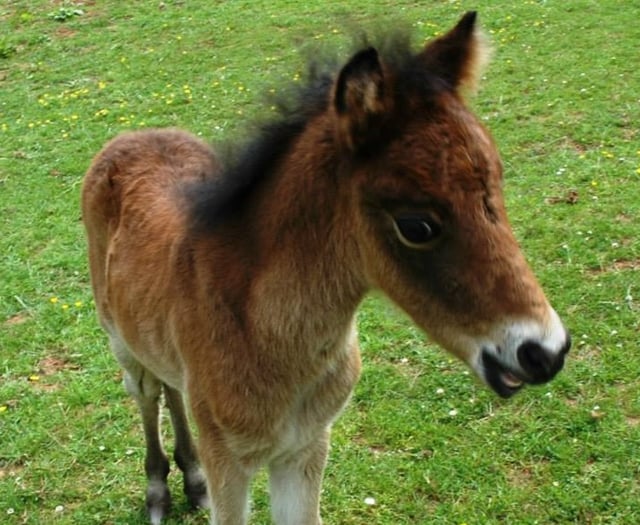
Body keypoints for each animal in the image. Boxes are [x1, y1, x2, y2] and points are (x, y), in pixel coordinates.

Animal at [82, 11, 570, 525]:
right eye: (416, 226)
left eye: (497, 184)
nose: (545, 351)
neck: (270, 342)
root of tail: (132, 135)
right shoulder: (229, 459)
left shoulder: (306, 448)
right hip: (119, 341)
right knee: (147, 390)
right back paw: (159, 490)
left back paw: (191, 480)